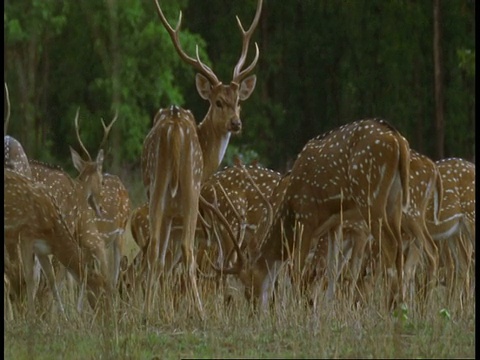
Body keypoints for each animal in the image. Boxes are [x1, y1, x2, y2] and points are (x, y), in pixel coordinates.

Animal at [3, 169, 110, 316]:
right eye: (101, 291)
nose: (107, 315)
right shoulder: (25, 235)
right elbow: (30, 278)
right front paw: (32, 317)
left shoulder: (41, 249)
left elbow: (51, 278)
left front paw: (63, 316)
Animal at [219, 119, 410, 312]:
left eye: (249, 282)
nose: (254, 308)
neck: (290, 208)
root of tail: (397, 140)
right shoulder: (335, 223)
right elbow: (332, 269)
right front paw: (328, 307)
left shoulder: (307, 216)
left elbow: (297, 269)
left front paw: (298, 308)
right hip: (394, 201)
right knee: (399, 247)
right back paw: (400, 303)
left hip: (369, 196)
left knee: (390, 243)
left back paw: (390, 303)